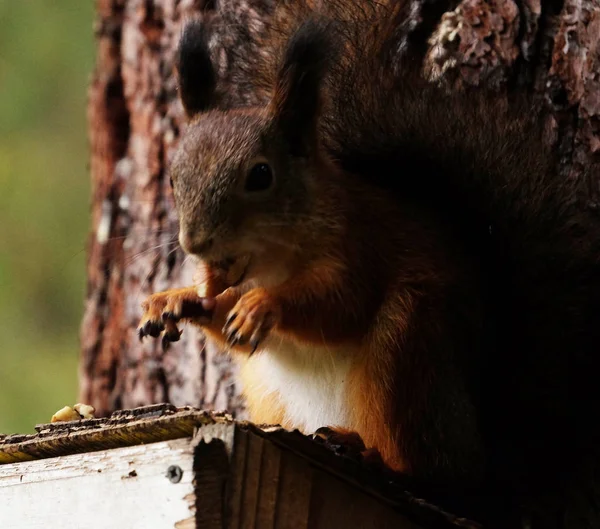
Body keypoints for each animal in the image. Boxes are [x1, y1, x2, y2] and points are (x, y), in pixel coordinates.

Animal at [138, 9, 600, 528]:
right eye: (174, 177)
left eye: (260, 175)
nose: (193, 242)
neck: (273, 261)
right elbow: (220, 313)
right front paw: (175, 300)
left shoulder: (361, 248)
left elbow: (342, 306)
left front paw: (263, 307)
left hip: (405, 345)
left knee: (441, 474)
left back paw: (373, 456)